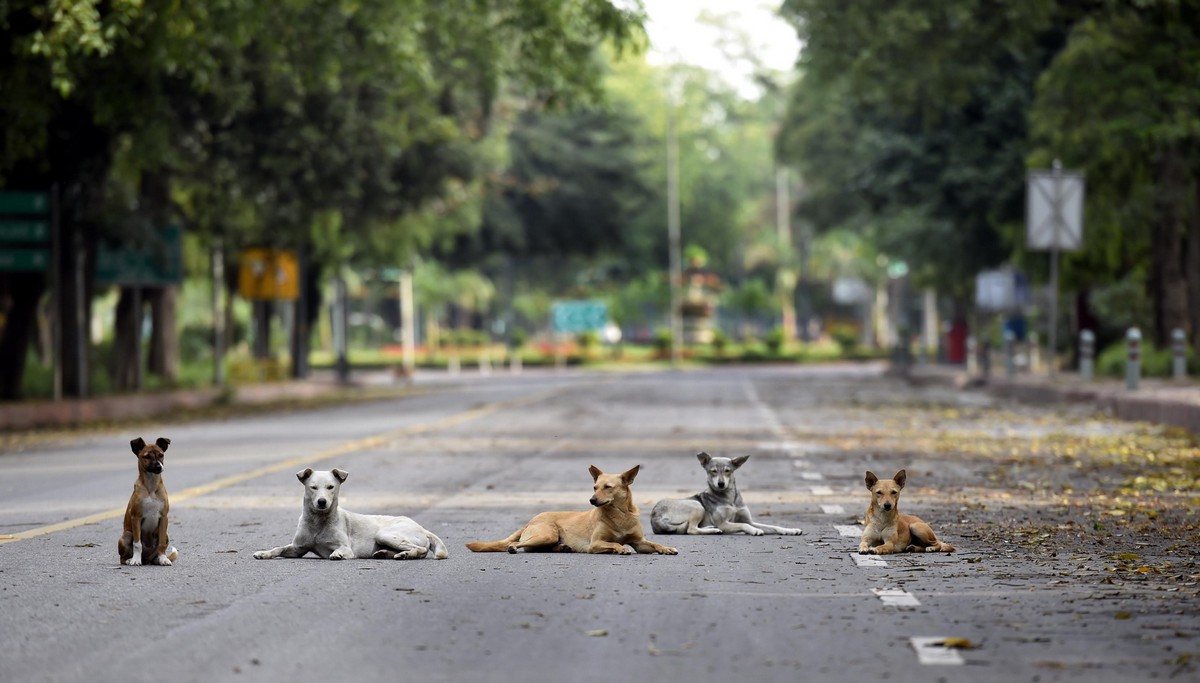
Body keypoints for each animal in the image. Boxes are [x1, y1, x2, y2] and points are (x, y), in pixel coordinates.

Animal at [118, 436, 177, 564]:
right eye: (147, 457)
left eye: (161, 455)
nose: (159, 467)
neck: (151, 487)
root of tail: (145, 559)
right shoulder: (136, 518)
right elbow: (137, 544)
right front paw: (135, 560)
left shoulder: (164, 518)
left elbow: (161, 543)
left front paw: (163, 558)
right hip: (126, 536)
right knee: (122, 558)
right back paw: (130, 560)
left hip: (166, 535)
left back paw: (158, 559)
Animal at [253, 468, 451, 559]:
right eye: (313, 487)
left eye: (331, 487)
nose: (322, 502)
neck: (318, 522)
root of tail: (423, 529)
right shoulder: (297, 548)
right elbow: (278, 548)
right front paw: (264, 553)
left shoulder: (346, 548)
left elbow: (340, 550)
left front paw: (337, 554)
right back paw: (386, 554)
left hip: (385, 534)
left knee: (421, 549)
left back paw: (405, 555)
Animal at [465, 463, 681, 554]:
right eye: (594, 487)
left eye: (607, 487)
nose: (592, 500)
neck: (621, 514)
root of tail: (532, 519)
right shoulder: (595, 544)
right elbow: (614, 543)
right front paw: (620, 548)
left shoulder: (640, 543)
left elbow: (654, 544)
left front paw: (667, 548)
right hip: (546, 534)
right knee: (517, 544)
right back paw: (512, 547)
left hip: (547, 538)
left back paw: (563, 547)